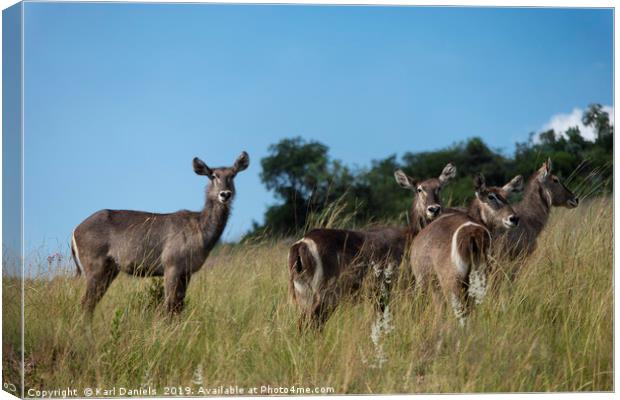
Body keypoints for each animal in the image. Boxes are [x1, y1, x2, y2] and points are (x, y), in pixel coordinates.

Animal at [71, 152, 249, 314]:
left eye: (233, 175)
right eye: (213, 175)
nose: (225, 194)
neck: (201, 232)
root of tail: (74, 232)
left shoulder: (187, 271)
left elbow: (179, 307)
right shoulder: (171, 265)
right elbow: (169, 306)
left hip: (110, 269)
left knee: (91, 303)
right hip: (95, 266)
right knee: (85, 303)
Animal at [288, 162, 458, 328]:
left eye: (439, 187)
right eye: (419, 189)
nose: (434, 209)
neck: (411, 236)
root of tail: (300, 245)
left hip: (302, 294)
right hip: (326, 293)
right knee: (312, 324)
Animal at [410, 173, 520, 324]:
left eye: (506, 196)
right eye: (491, 197)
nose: (514, 218)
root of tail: (472, 233)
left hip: (453, 285)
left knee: (460, 314)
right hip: (486, 276)